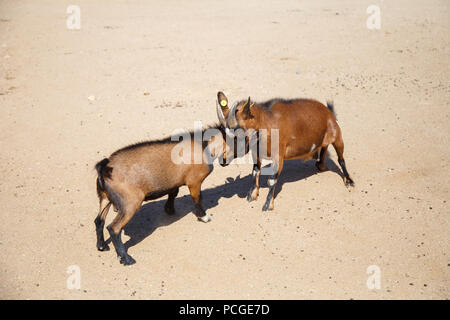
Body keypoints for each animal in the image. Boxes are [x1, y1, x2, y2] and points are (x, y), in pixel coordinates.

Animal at [93, 125, 230, 264]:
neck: (204, 145)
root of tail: (105, 168)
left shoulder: (175, 182)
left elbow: (174, 192)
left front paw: (169, 209)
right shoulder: (194, 182)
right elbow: (198, 199)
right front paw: (204, 217)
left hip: (105, 198)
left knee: (99, 220)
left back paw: (102, 246)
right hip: (130, 203)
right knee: (114, 228)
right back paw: (126, 258)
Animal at [215, 92, 356, 212]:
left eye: (237, 134)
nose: (222, 160)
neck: (266, 122)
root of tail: (328, 111)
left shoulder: (279, 156)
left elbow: (272, 180)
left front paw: (268, 205)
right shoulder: (256, 153)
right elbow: (255, 171)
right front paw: (252, 195)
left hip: (337, 135)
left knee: (341, 158)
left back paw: (349, 180)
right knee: (324, 147)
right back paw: (321, 164)